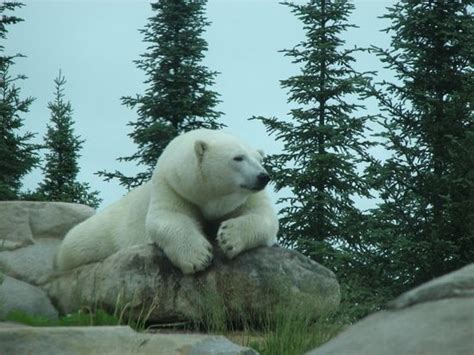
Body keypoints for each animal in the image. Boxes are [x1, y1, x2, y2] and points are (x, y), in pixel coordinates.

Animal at [55, 129, 278, 274]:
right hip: (97, 235)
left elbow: (264, 217)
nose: (263, 177)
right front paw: (198, 258)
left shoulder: (249, 196)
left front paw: (228, 237)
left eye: (259, 160)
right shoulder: (172, 185)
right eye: (238, 158)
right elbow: (168, 217)